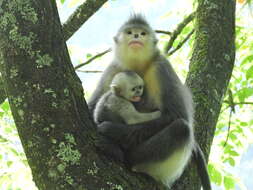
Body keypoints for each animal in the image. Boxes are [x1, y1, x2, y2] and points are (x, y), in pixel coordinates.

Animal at [88, 14, 211, 189]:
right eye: (129, 32)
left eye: (143, 33)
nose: (136, 36)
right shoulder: (113, 69)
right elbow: (91, 106)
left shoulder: (161, 68)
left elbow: (176, 115)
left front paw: (110, 130)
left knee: (181, 128)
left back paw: (122, 154)